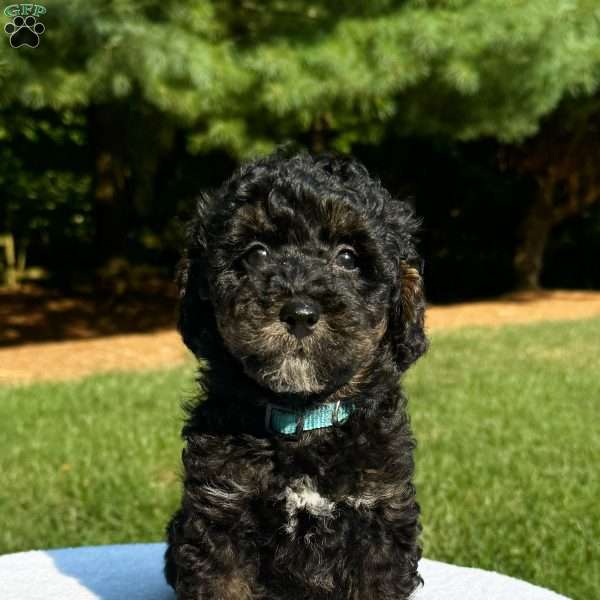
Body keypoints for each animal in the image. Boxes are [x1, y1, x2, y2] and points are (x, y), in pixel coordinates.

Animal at [164, 150, 426, 600]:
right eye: (256, 254)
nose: (300, 313)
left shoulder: (379, 511)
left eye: (348, 258)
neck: (302, 419)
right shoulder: (221, 509)